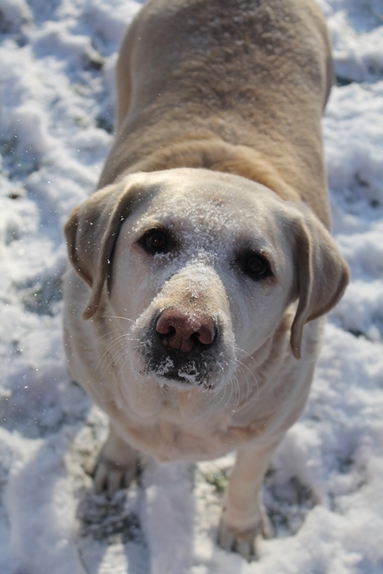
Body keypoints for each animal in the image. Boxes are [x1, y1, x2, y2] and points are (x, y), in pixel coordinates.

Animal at [63, 0, 352, 564]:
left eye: (258, 266)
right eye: (154, 239)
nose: (184, 329)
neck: (175, 410)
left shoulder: (272, 427)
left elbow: (246, 475)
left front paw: (240, 528)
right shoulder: (104, 388)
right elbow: (121, 424)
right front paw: (117, 460)